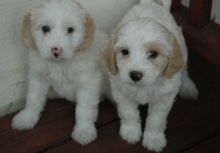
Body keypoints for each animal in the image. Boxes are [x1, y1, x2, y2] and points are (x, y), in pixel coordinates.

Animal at [12, 0, 108, 145]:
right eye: (45, 29)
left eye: (70, 30)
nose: (56, 49)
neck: (59, 64)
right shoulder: (38, 77)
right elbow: (33, 99)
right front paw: (27, 117)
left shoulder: (88, 83)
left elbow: (84, 109)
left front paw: (84, 131)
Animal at [104, 0, 199, 152]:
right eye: (124, 52)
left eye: (153, 54)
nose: (135, 75)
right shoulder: (121, 92)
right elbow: (128, 112)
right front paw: (130, 131)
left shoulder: (163, 98)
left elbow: (156, 120)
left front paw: (154, 139)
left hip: (183, 53)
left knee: (184, 71)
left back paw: (188, 88)